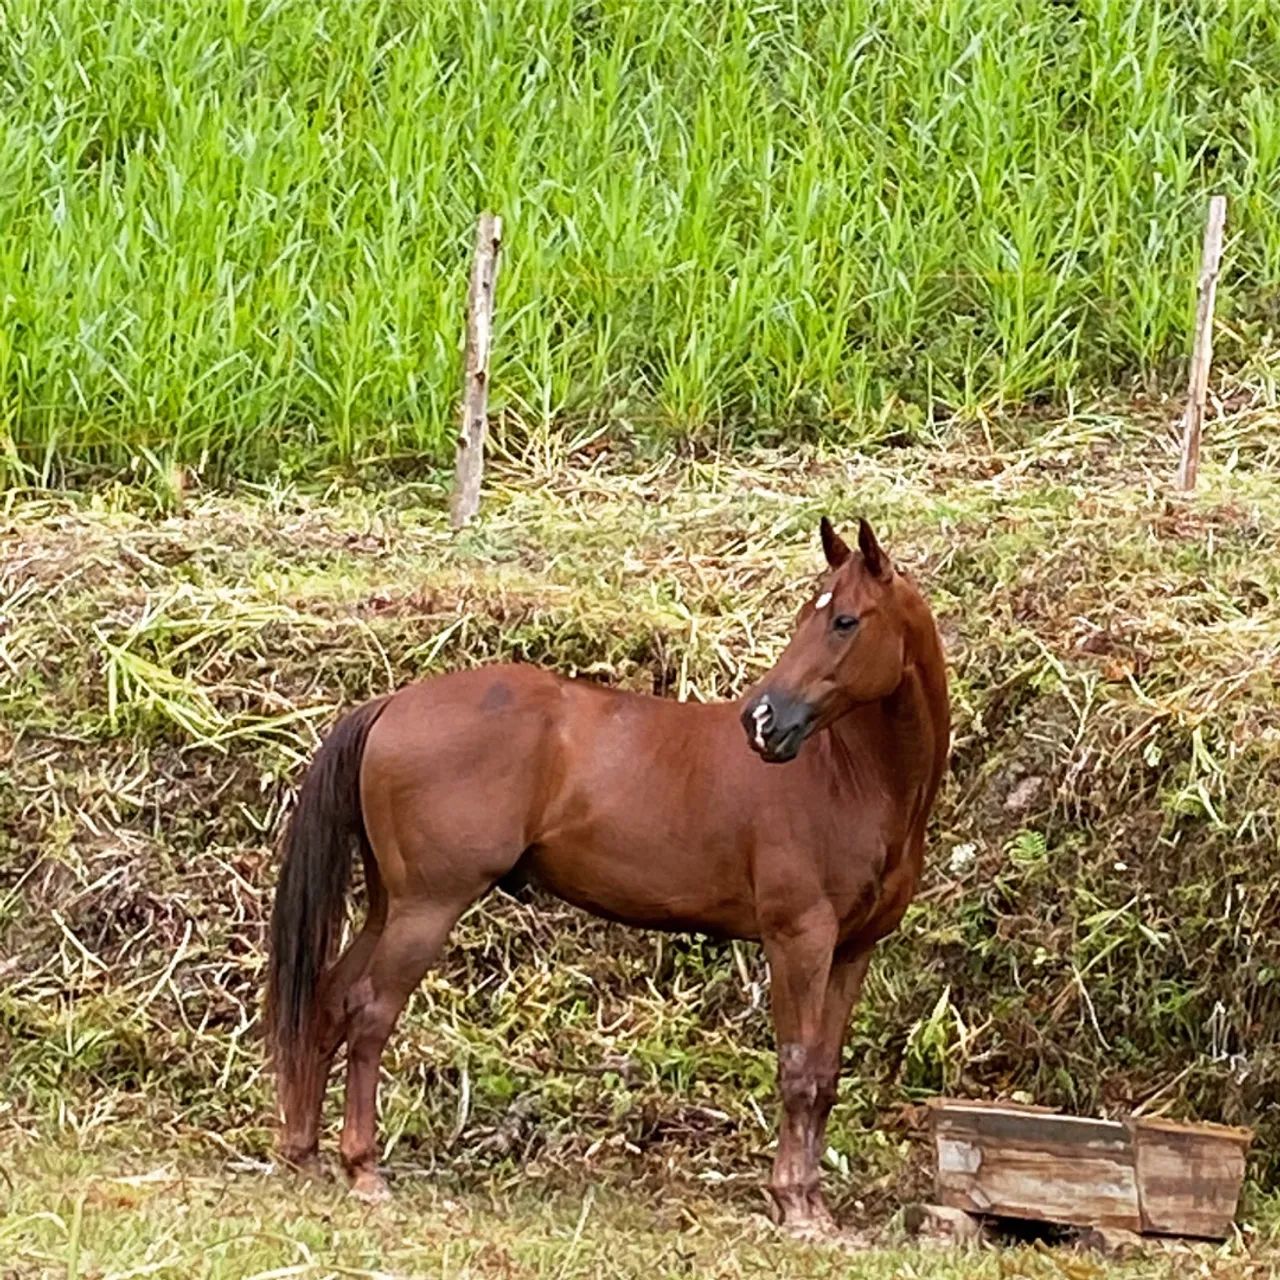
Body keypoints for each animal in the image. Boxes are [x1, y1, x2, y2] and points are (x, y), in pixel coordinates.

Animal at [265, 517, 949, 1233]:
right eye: (806, 618)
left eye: (844, 620)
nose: (763, 721)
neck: (847, 777)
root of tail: (394, 702)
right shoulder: (799, 941)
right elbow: (797, 1071)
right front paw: (793, 1200)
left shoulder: (850, 951)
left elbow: (824, 1076)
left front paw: (813, 1200)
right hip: (426, 908)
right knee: (370, 1013)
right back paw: (364, 1166)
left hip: (389, 905)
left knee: (329, 999)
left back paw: (305, 1152)